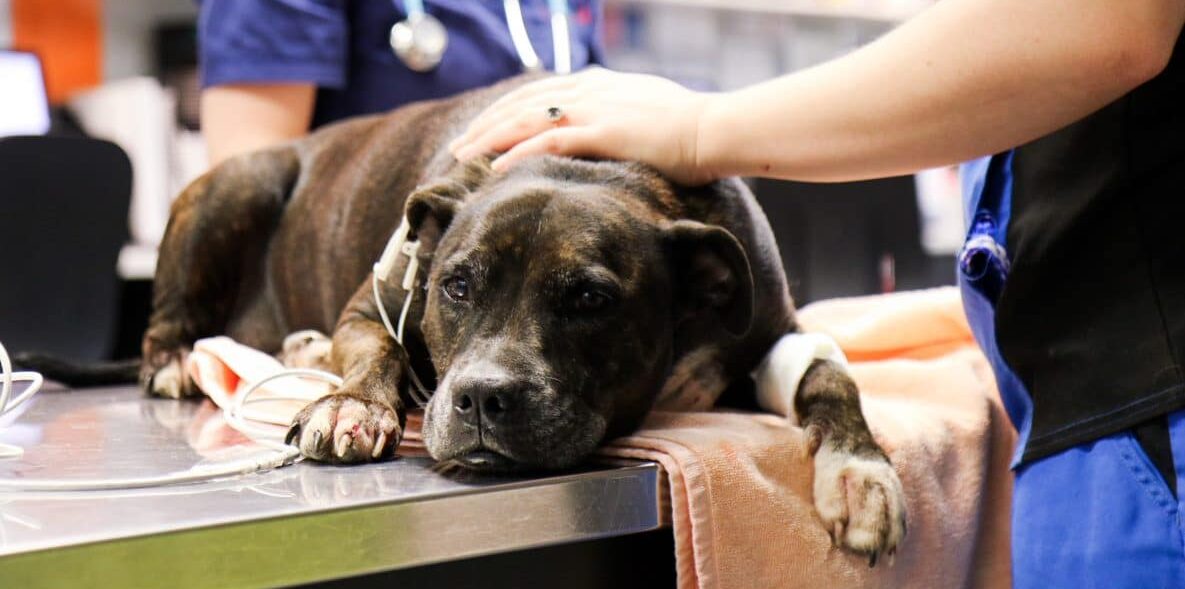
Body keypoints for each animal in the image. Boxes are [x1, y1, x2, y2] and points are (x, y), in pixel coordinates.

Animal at [134, 74, 900, 559]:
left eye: (590, 299)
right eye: (455, 286)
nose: (479, 398)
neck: (585, 162)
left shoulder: (777, 329)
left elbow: (831, 376)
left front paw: (859, 473)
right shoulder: (367, 305)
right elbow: (378, 349)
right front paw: (352, 406)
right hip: (241, 182)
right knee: (167, 319)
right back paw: (182, 360)